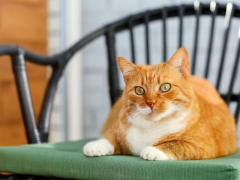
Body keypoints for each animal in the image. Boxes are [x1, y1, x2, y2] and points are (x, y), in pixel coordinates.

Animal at [83, 47, 237, 160]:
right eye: (139, 90)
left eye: (165, 87)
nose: (151, 103)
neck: (150, 126)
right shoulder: (118, 131)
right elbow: (109, 137)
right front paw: (95, 145)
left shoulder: (203, 146)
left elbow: (176, 145)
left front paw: (154, 150)